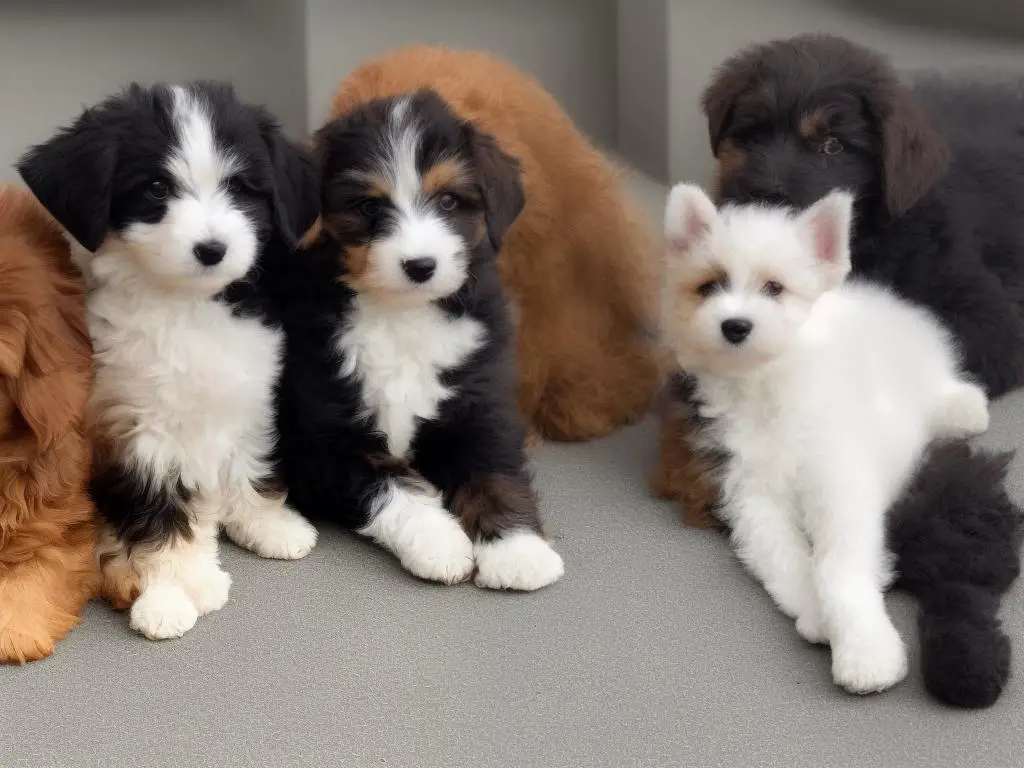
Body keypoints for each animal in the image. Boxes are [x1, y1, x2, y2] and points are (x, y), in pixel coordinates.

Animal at [17, 81, 319, 638]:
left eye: (240, 187)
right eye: (157, 188)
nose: (212, 248)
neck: (185, 307)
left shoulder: (246, 396)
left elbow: (248, 459)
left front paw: (265, 520)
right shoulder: (143, 439)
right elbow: (160, 519)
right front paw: (174, 588)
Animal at [276, 90, 565, 593]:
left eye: (448, 200)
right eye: (369, 208)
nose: (420, 265)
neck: (402, 316)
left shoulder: (478, 405)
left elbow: (494, 473)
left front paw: (518, 551)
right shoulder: (329, 436)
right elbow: (394, 487)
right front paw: (440, 544)